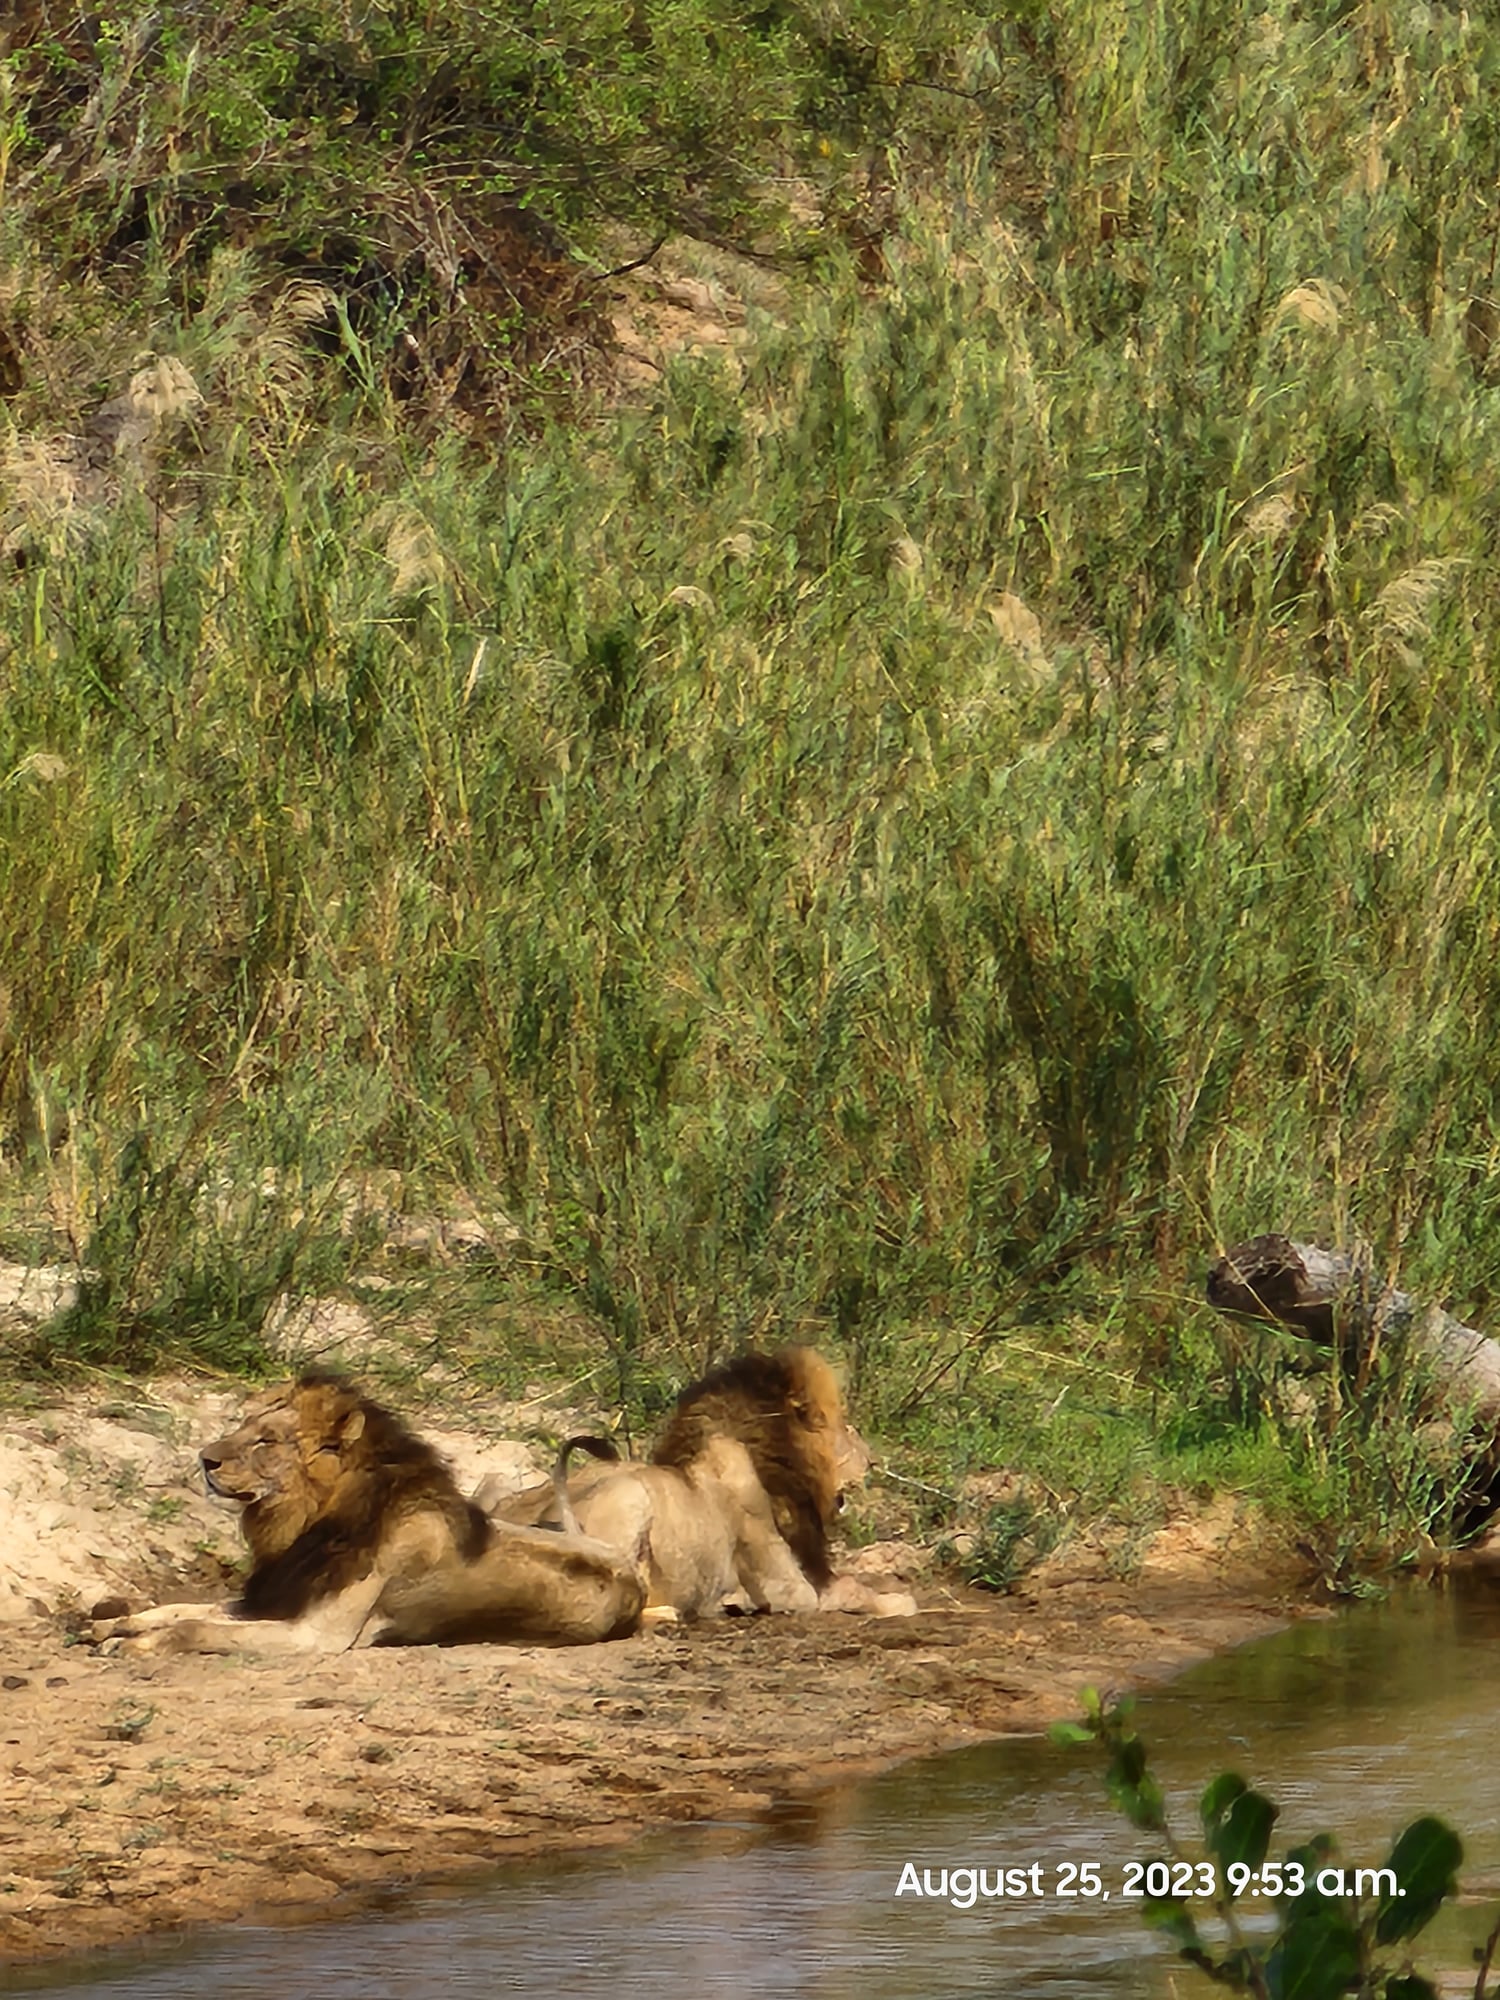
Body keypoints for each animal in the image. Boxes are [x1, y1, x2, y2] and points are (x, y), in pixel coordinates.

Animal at [92, 1373, 646, 1655]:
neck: (305, 1524)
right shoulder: (277, 1600)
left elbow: (196, 1628)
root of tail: (629, 1570)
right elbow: (181, 1609)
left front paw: (140, 1645)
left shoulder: (315, 1636)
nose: (205, 1458)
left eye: (266, 1441)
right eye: (241, 1425)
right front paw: (113, 1626)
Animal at [486, 1348, 916, 1622]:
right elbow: (854, 1589)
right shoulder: (790, 1588)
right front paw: (901, 1601)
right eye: (847, 1429)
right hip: (629, 1499)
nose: (874, 1460)